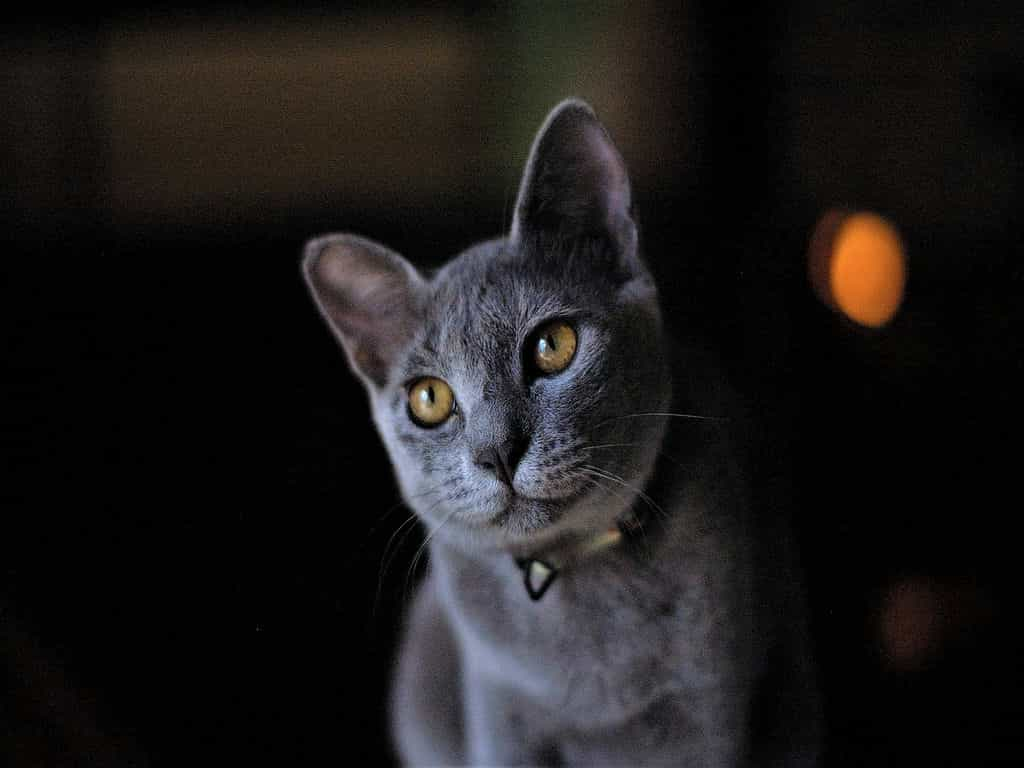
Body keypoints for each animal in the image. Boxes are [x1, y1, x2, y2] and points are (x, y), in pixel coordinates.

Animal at [299, 100, 819, 768]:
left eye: (553, 345)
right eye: (429, 399)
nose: (497, 451)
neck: (572, 564)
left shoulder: (706, 709)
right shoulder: (500, 708)